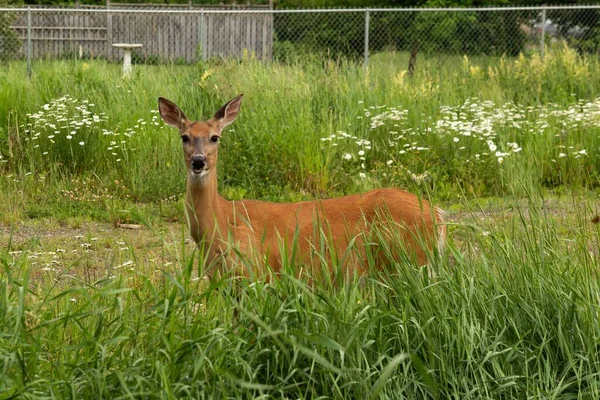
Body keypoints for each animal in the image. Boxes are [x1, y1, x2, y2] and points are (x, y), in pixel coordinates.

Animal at [159, 95, 446, 280]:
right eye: (184, 137)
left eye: (215, 137)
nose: (198, 161)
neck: (219, 226)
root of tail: (438, 215)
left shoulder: (256, 272)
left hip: (410, 262)